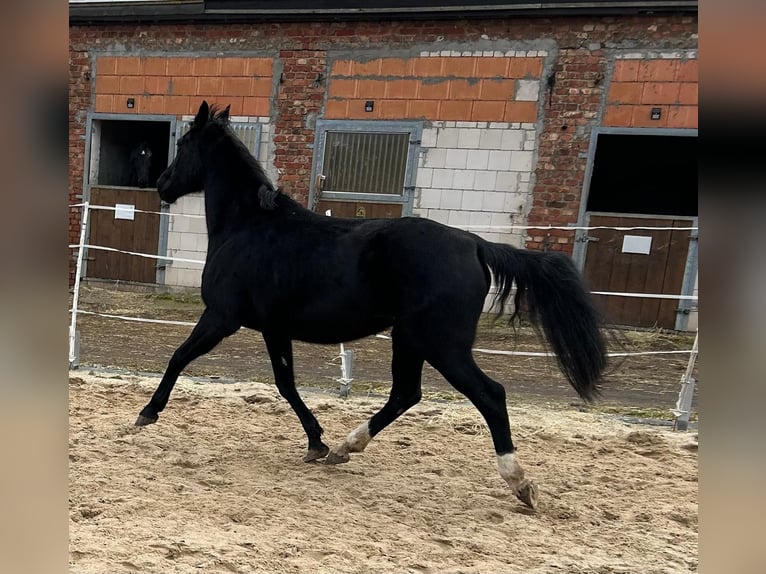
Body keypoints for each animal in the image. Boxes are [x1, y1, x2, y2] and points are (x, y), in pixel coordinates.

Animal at [135, 101, 608, 510]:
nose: (162, 185)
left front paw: (147, 414)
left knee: (489, 394)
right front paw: (317, 443)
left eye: (184, 144)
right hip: (410, 340)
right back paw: (345, 448)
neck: (249, 226)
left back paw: (520, 483)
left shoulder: (222, 317)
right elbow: (285, 384)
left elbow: (179, 357)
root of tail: (474, 244)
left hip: (441, 345)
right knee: (405, 394)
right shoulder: (274, 329)